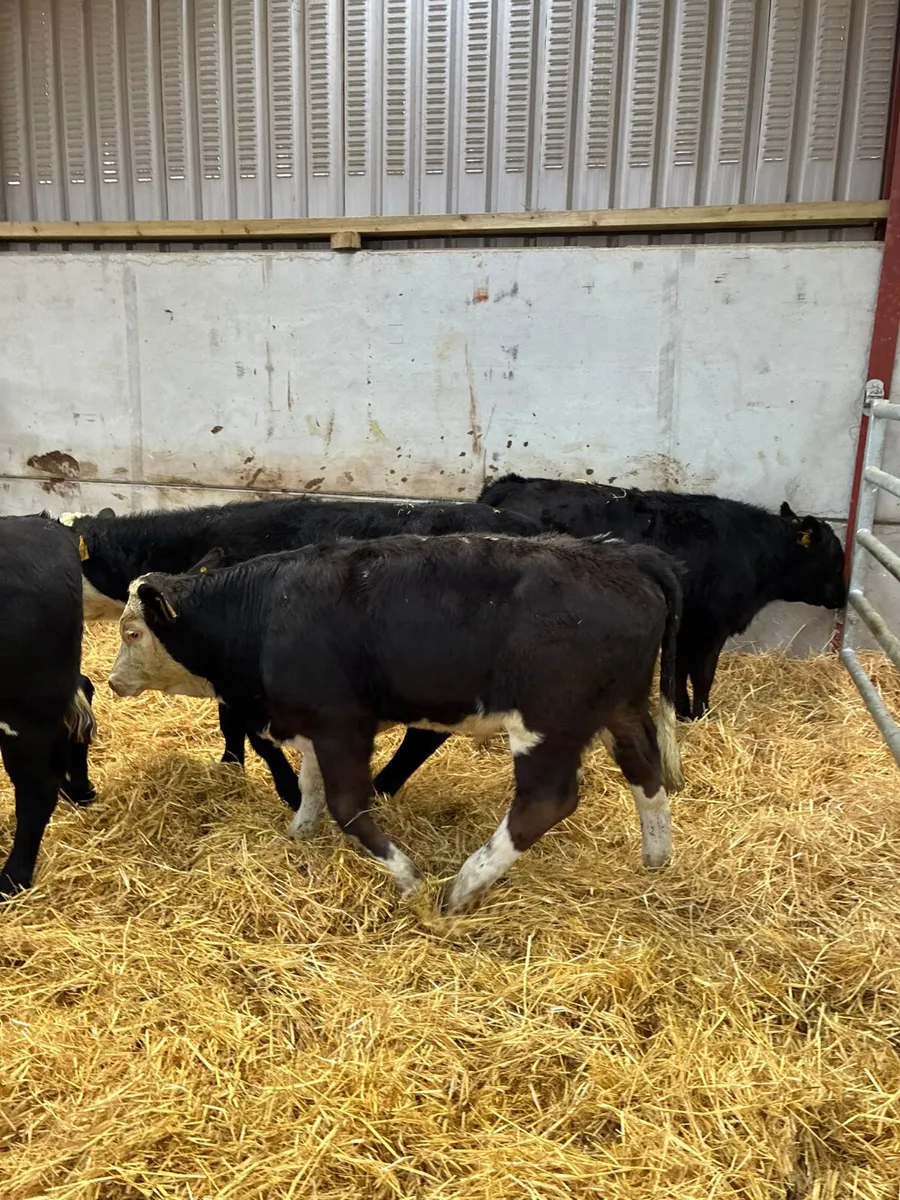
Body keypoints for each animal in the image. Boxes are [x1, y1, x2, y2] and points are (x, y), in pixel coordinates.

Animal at [59, 497, 543, 808]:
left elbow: (246, 728)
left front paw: (271, 783)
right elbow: (232, 724)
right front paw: (231, 765)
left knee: (424, 735)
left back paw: (380, 788)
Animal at [107, 532, 683, 913]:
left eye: (132, 632)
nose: (112, 681)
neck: (266, 611)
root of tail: (626, 557)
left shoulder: (341, 725)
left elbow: (345, 805)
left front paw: (406, 876)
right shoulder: (313, 725)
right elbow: (312, 789)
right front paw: (299, 835)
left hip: (547, 722)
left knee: (544, 802)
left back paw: (463, 886)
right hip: (621, 709)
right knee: (646, 771)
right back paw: (656, 860)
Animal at [473, 475, 847, 720]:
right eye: (835, 558)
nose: (844, 598)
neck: (754, 550)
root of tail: (511, 483)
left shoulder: (686, 627)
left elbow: (679, 673)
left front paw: (681, 713)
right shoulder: (711, 629)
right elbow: (702, 675)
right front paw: (702, 715)